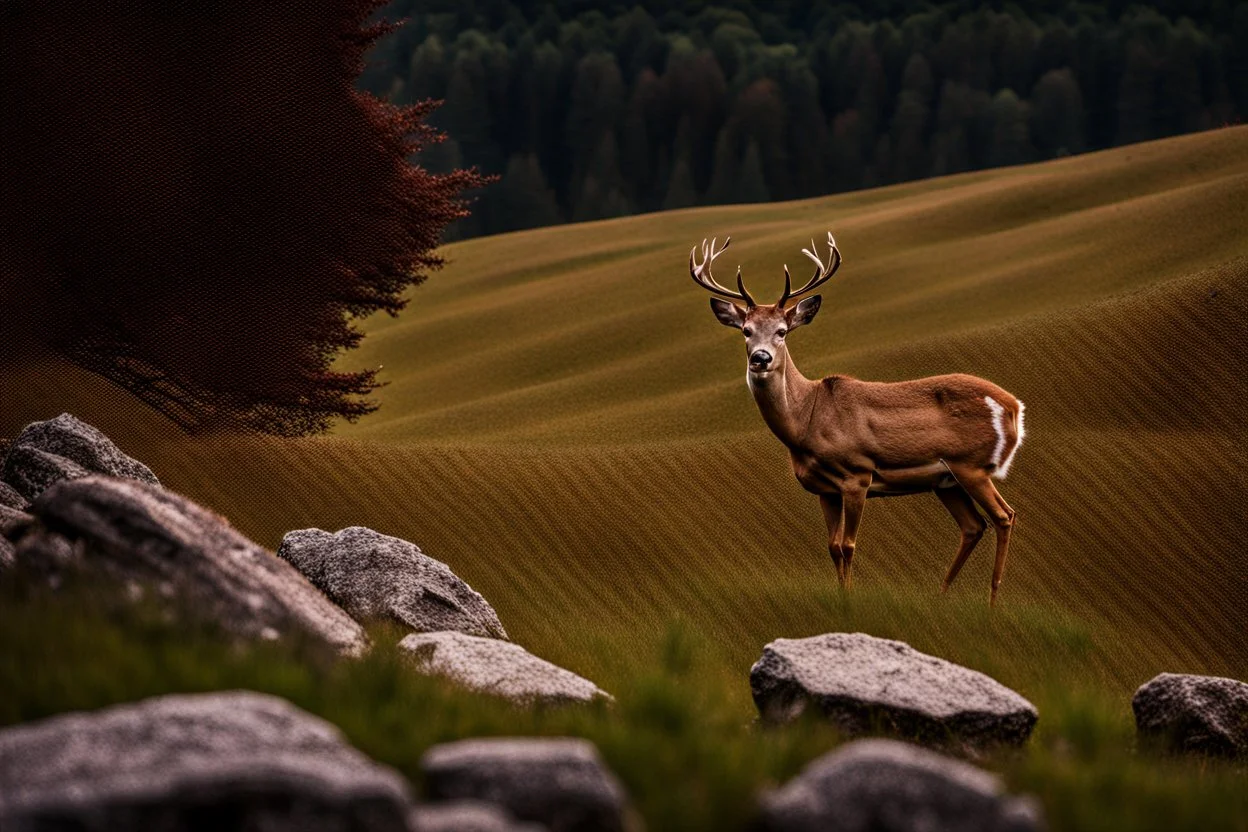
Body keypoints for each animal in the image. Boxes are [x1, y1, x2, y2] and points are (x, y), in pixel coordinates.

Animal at [693, 233, 1023, 606]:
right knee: (973, 526)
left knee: (1004, 516)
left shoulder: (857, 474)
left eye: (782, 331)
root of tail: (1013, 406)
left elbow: (848, 545)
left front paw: (850, 600)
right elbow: (832, 547)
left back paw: (993, 601)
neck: (806, 420)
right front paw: (841, 598)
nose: (761, 358)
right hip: (946, 480)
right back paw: (941, 596)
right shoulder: (824, 489)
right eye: (746, 331)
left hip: (972, 465)